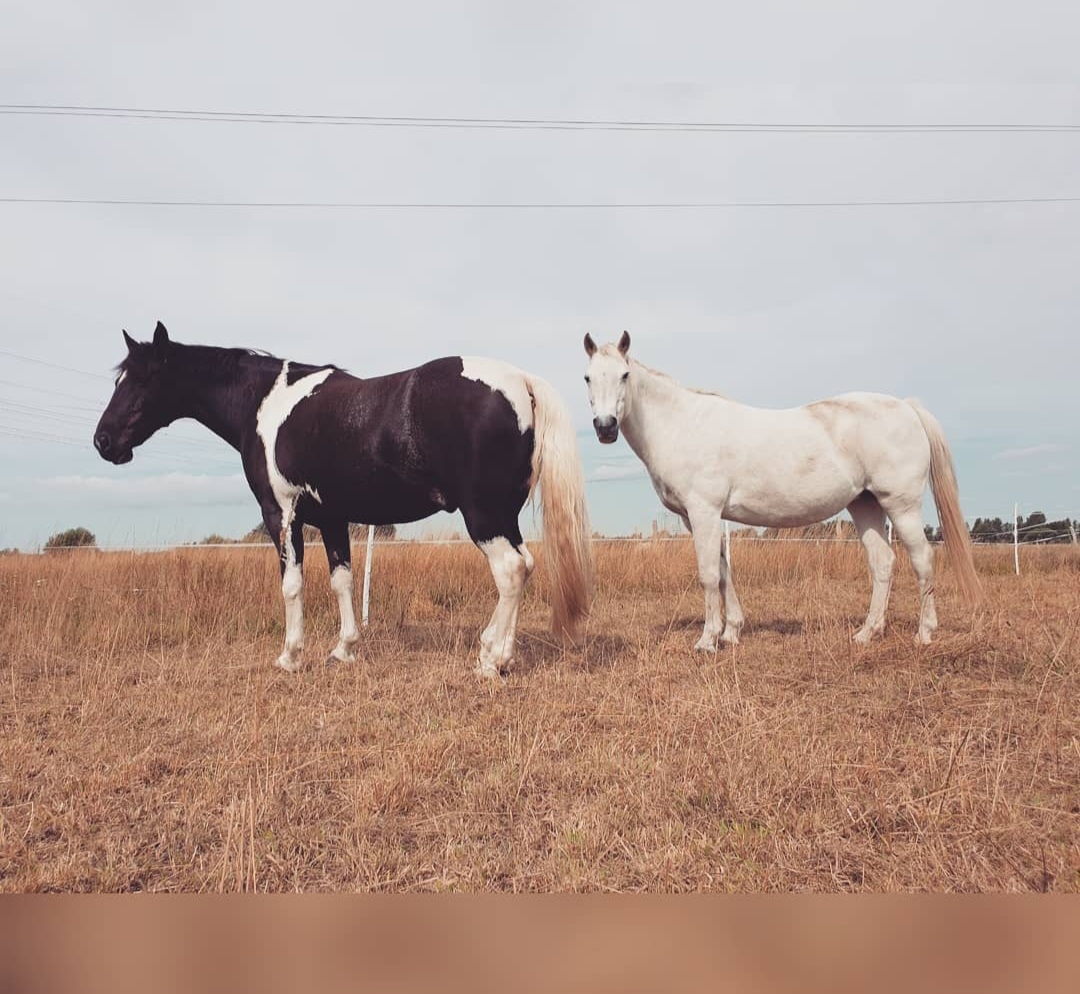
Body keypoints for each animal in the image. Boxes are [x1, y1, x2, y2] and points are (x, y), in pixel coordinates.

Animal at [93, 322, 592, 677]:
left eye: (142, 380)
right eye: (119, 379)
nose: (103, 441)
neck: (265, 405)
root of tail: (521, 380)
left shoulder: (281, 515)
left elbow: (292, 585)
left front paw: (290, 657)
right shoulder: (333, 519)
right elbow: (342, 582)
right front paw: (344, 649)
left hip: (483, 515)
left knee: (509, 570)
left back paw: (490, 659)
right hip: (504, 514)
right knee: (526, 565)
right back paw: (504, 655)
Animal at [582, 332, 981, 649]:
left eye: (624, 375)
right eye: (587, 377)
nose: (605, 427)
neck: (682, 424)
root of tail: (908, 407)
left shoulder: (704, 512)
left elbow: (709, 575)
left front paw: (708, 640)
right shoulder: (698, 519)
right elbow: (725, 572)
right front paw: (731, 633)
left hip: (901, 505)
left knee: (922, 560)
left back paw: (924, 634)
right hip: (865, 505)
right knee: (882, 563)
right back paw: (867, 634)